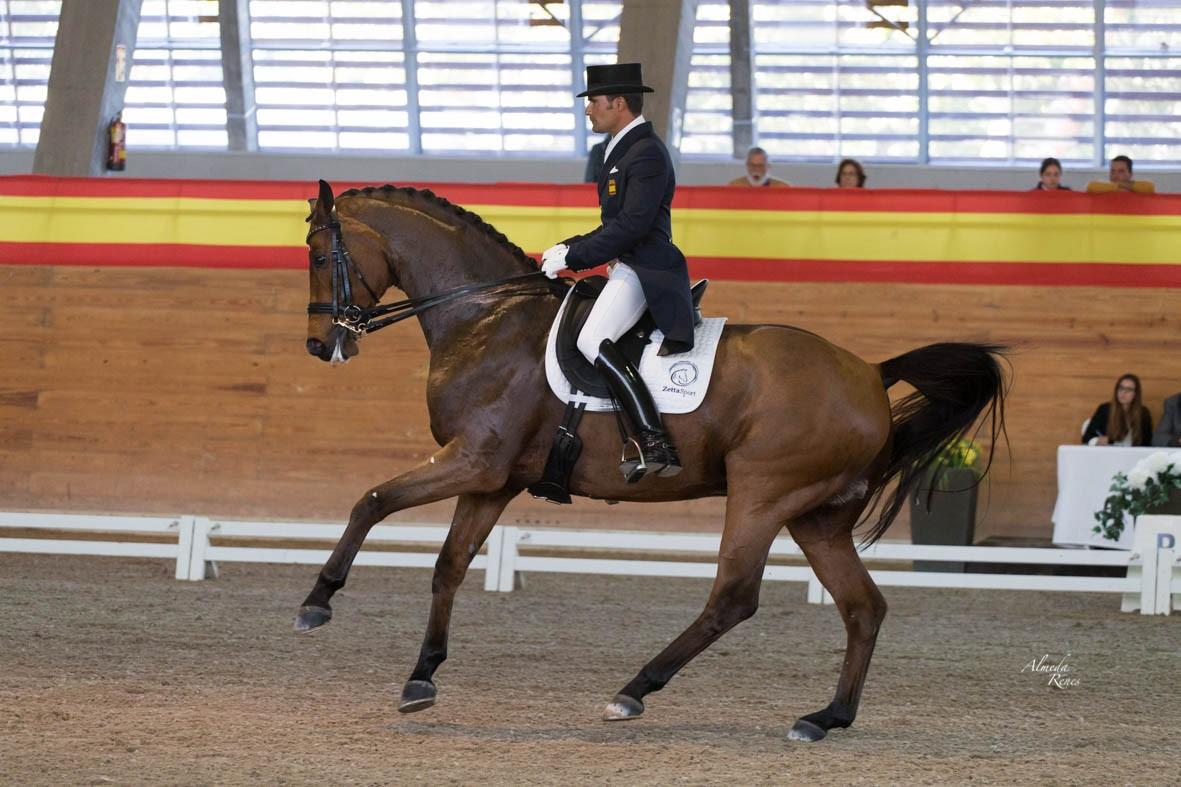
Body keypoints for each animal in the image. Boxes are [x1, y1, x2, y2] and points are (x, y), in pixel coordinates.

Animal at [295, 177, 1006, 742]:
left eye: (320, 254)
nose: (320, 345)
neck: (485, 316)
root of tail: (870, 374)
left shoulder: (472, 461)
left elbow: (372, 500)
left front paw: (318, 602)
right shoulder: (491, 480)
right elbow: (447, 567)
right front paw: (421, 678)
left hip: (763, 493)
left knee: (734, 597)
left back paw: (633, 690)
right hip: (818, 515)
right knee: (863, 608)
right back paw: (825, 718)